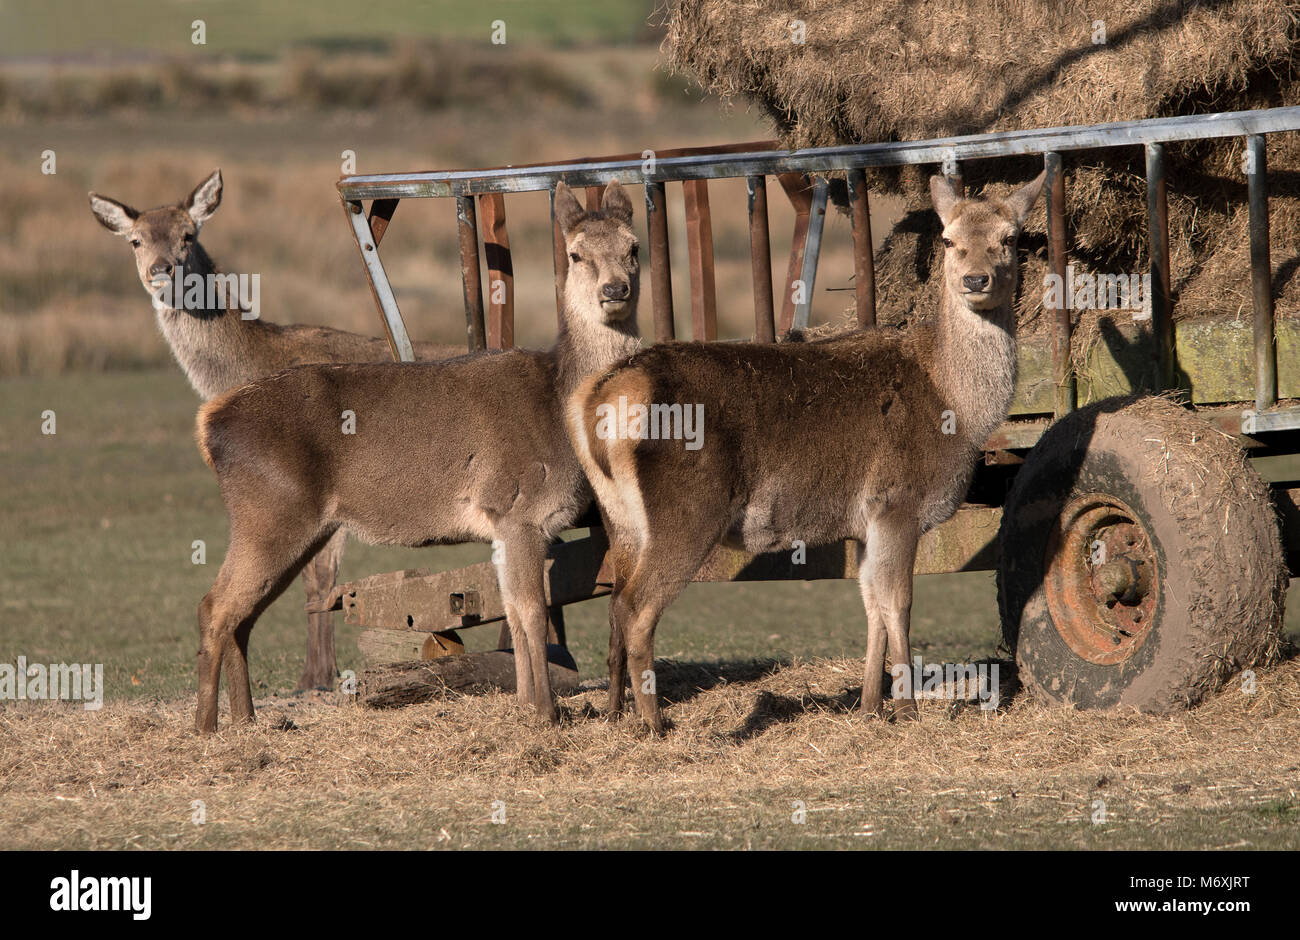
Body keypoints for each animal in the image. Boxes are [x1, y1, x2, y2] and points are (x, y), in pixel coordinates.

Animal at [87, 171, 462, 691]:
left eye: (189, 234)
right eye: (135, 240)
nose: (161, 270)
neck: (250, 364)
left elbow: (320, 575)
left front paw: (316, 676)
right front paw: (318, 673)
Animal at [191, 180, 639, 733]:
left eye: (633, 248)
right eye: (575, 254)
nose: (616, 290)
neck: (560, 405)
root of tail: (208, 421)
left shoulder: (505, 524)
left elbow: (513, 612)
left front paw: (523, 706)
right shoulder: (517, 509)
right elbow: (532, 612)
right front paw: (545, 712)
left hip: (297, 526)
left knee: (243, 615)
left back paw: (247, 719)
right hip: (269, 511)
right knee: (214, 608)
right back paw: (207, 728)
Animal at [569, 174, 1045, 733]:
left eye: (1009, 238)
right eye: (948, 240)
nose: (976, 279)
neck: (958, 409)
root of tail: (596, 397)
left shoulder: (864, 523)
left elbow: (871, 606)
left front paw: (870, 706)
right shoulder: (898, 502)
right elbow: (899, 604)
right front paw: (906, 709)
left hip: (620, 518)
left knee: (614, 603)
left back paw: (618, 714)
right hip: (686, 511)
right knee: (636, 607)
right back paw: (658, 726)